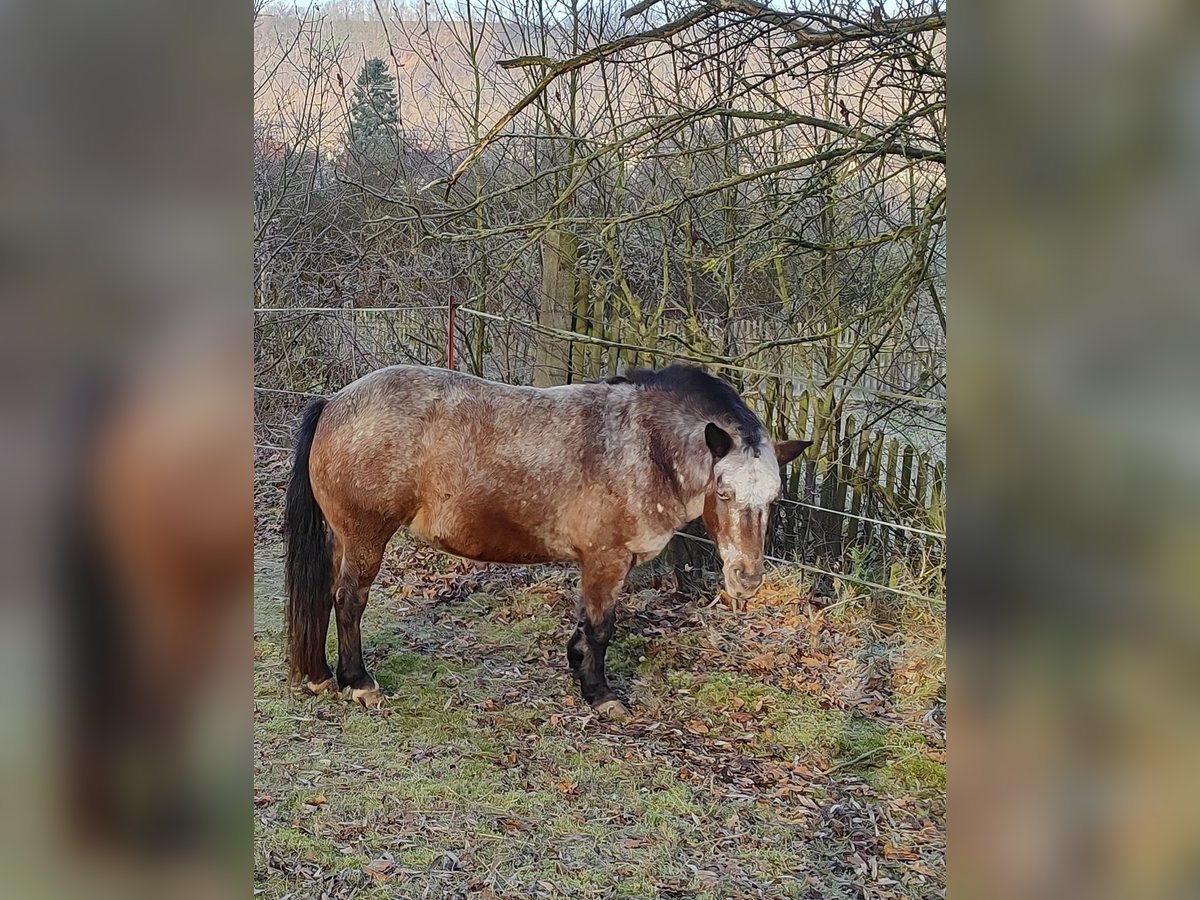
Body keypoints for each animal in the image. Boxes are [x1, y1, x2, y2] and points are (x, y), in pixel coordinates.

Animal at [283, 362, 806, 724]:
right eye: (724, 492)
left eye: (775, 499)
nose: (747, 579)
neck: (642, 446)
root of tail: (334, 402)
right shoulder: (606, 558)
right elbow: (602, 627)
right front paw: (600, 694)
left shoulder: (602, 563)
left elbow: (587, 621)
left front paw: (578, 665)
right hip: (366, 537)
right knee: (349, 600)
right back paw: (359, 682)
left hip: (341, 538)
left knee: (325, 597)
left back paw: (321, 675)